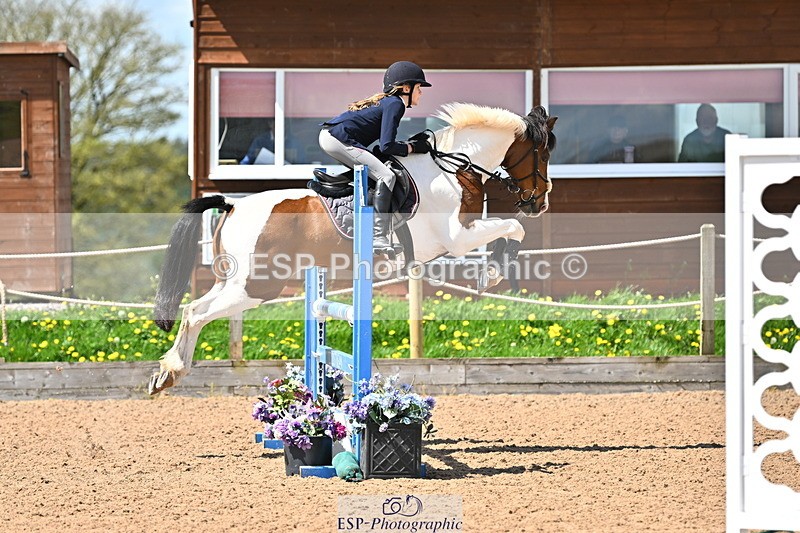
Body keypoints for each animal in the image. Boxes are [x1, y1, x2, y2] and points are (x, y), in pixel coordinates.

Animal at [148, 103, 557, 394]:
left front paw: (494, 270)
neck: (453, 170)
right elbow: (514, 228)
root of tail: (232, 205)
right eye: (543, 155)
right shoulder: (457, 236)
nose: (541, 202)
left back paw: (166, 374)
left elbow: (511, 230)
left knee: (195, 309)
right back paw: (171, 371)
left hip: (234, 282)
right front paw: (493, 273)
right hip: (257, 286)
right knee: (196, 313)